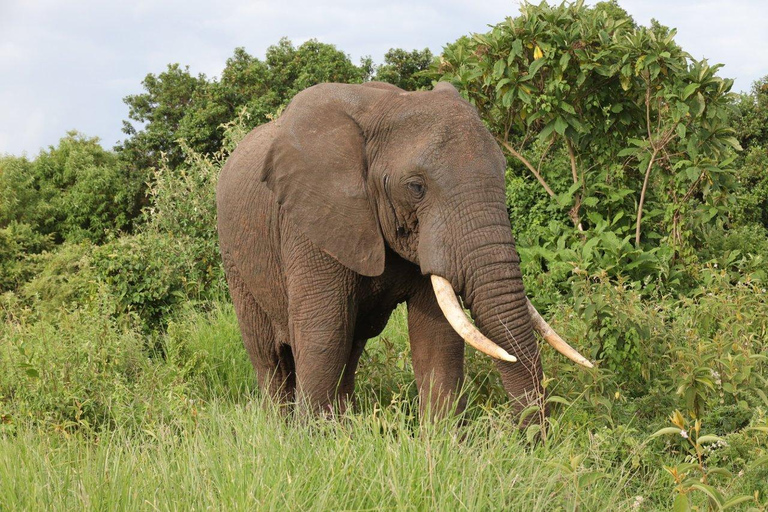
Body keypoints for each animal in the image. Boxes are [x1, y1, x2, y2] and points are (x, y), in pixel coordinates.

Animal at [218, 82, 592, 422]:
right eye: (415, 187)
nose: (528, 440)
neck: (386, 103)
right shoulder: (310, 220)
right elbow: (324, 331)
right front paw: (311, 440)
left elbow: (438, 335)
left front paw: (443, 441)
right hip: (233, 256)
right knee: (270, 356)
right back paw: (279, 427)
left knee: (351, 347)